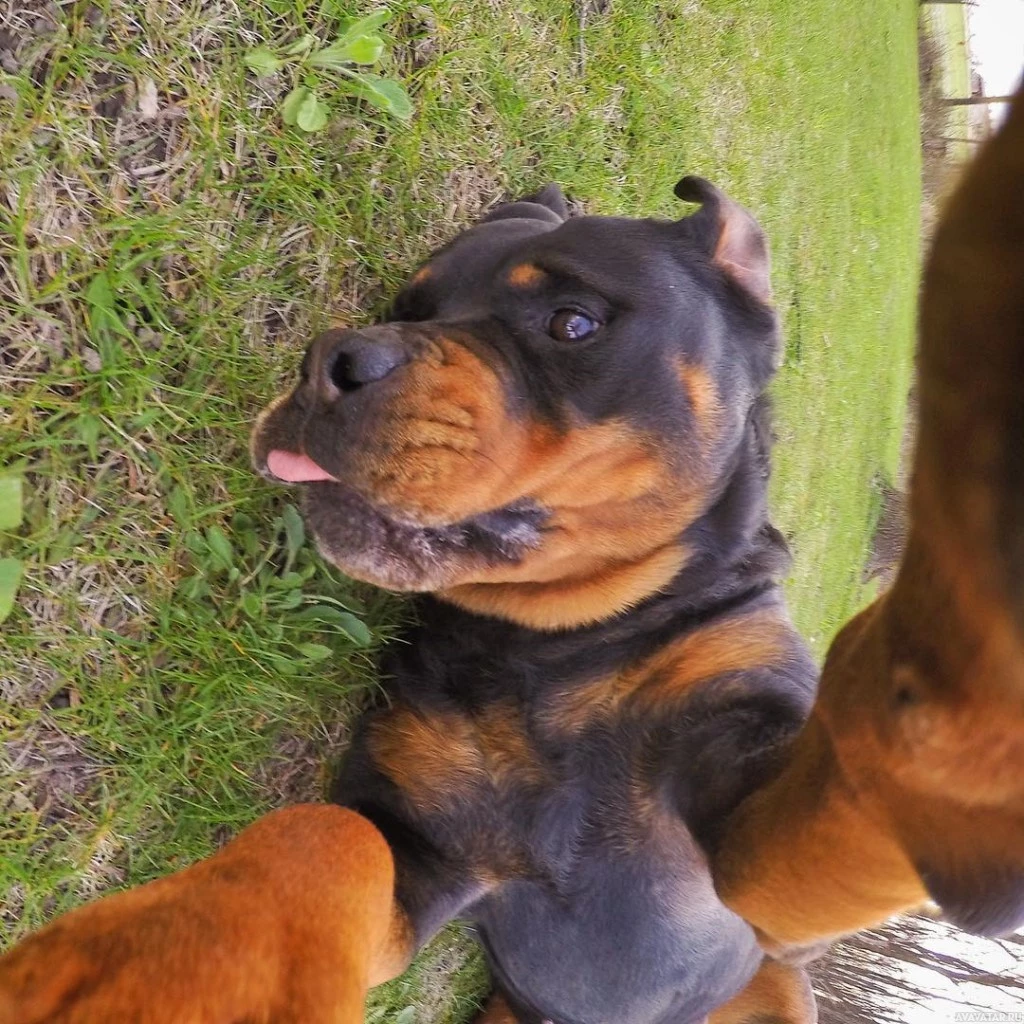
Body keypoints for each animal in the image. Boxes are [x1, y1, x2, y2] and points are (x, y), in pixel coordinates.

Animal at [1, 88, 1022, 1024]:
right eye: (407, 305)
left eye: (572, 321)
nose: (329, 360)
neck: (547, 649)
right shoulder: (410, 844)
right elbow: (319, 841)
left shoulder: (748, 818)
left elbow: (839, 789)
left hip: (775, 981)